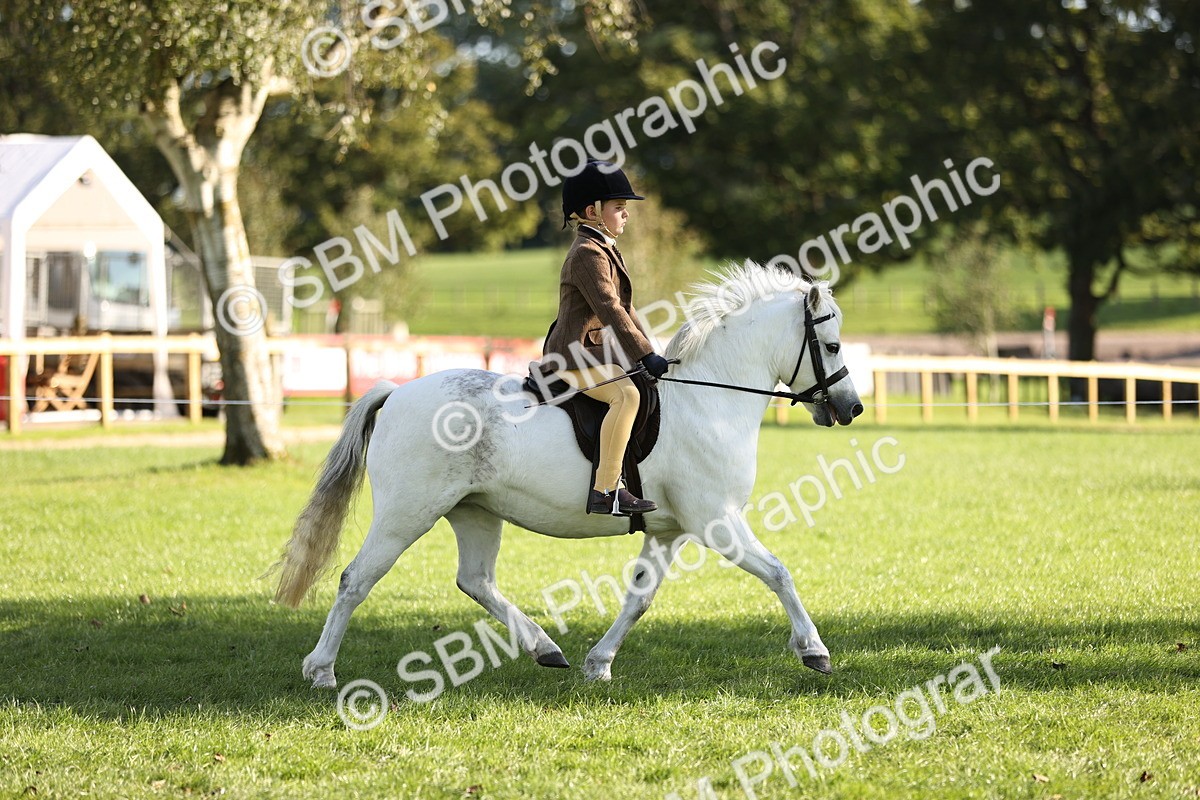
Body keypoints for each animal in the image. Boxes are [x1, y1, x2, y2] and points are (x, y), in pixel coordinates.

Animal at [271, 261, 864, 689]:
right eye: (832, 345)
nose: (852, 407)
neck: (708, 398)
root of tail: (396, 391)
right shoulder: (716, 520)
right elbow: (779, 573)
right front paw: (815, 651)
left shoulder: (670, 530)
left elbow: (640, 598)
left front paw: (598, 663)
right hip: (406, 513)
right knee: (356, 579)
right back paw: (321, 671)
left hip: (474, 511)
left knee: (475, 580)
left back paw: (545, 648)